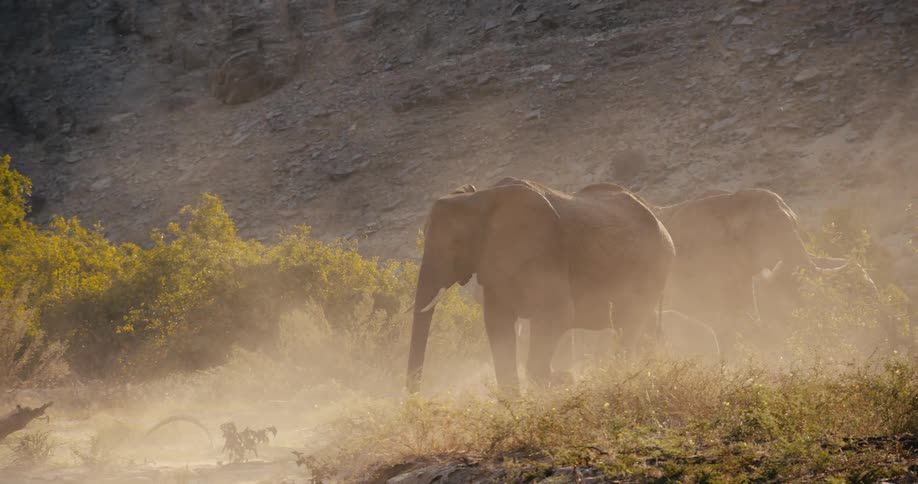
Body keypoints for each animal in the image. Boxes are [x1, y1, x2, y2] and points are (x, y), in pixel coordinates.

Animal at [406, 178, 675, 394]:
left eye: (454, 244)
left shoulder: (544, 252)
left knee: (629, 328)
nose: (414, 397)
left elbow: (558, 314)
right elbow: (497, 324)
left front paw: (564, 379)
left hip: (653, 267)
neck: (481, 198)